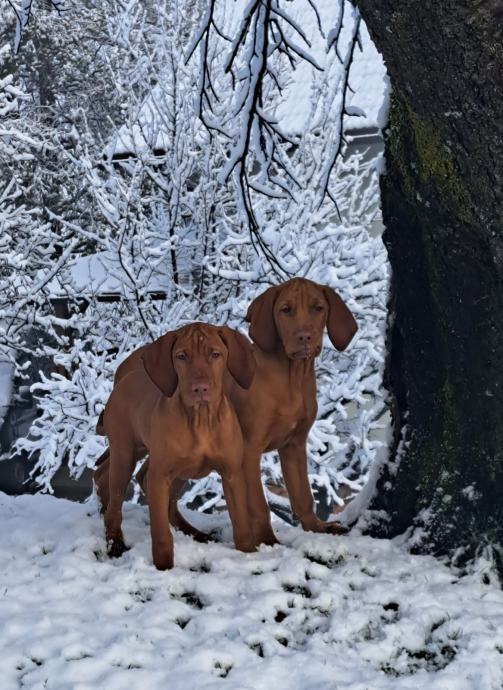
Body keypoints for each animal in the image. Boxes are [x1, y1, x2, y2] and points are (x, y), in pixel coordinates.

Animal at [95, 326, 256, 568]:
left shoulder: (232, 474)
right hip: (125, 453)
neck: (201, 420)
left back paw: (193, 533)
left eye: (215, 354)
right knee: (114, 501)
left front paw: (248, 554)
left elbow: (243, 525)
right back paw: (114, 542)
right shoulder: (160, 475)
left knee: (146, 486)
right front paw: (163, 567)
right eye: (181, 356)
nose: (200, 388)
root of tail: (125, 377)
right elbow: (161, 533)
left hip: (172, 465)